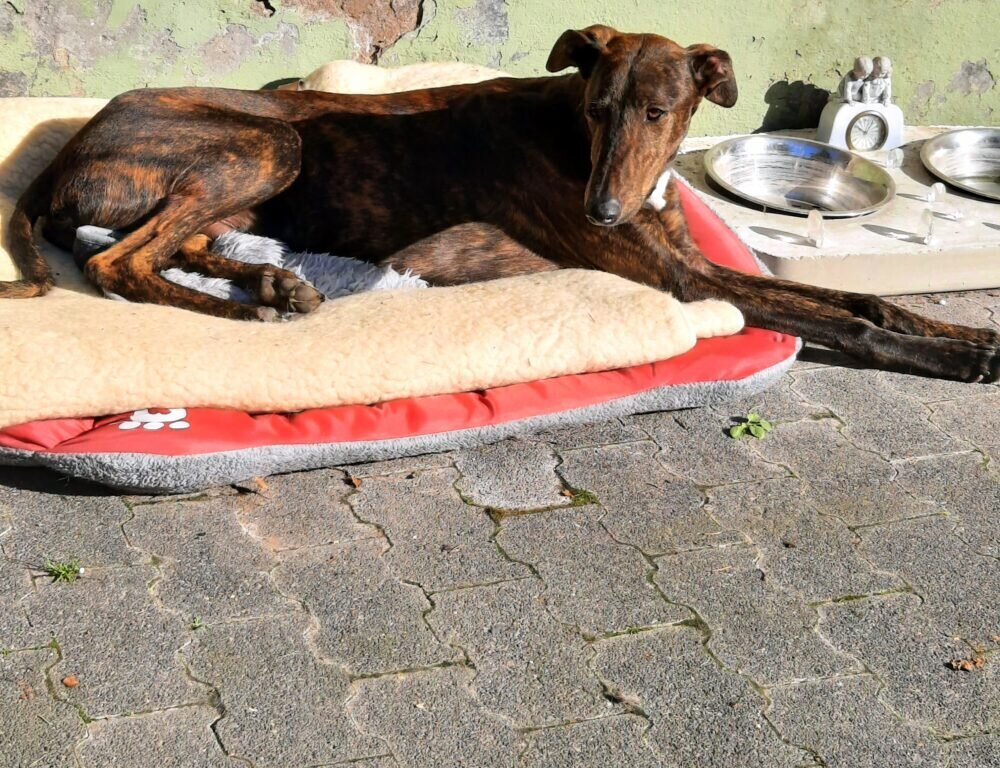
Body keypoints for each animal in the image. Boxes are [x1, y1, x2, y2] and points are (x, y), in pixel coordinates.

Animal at [2, 25, 998, 382]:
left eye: (658, 111)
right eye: (596, 106)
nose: (600, 215)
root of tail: (68, 152)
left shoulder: (687, 257)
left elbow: (857, 297)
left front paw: (959, 333)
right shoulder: (683, 280)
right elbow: (849, 321)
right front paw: (953, 359)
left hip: (247, 188)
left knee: (173, 248)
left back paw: (273, 288)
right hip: (269, 144)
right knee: (116, 260)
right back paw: (255, 309)